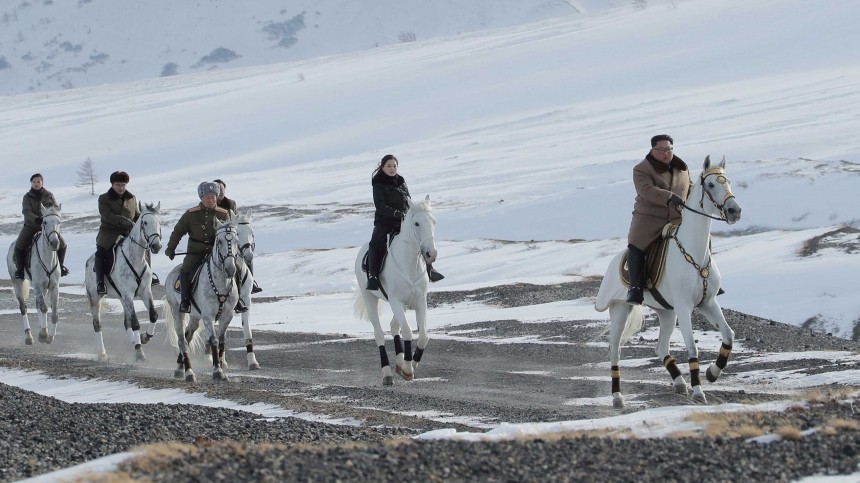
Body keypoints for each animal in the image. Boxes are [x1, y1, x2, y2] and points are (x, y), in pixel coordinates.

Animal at [5, 203, 62, 344]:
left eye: (59, 222)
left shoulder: (54, 286)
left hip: (44, 288)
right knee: (23, 307)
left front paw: (49, 336)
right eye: (45, 222)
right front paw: (44, 334)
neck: (48, 258)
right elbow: (44, 308)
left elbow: (54, 313)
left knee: (37, 304)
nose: (54, 242)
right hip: (17, 283)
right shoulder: (37, 285)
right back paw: (29, 337)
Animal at [85, 201, 164, 364]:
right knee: (97, 324)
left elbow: (153, 315)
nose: (156, 246)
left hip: (121, 298)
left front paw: (144, 338)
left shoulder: (145, 292)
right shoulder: (128, 295)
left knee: (126, 322)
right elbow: (135, 323)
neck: (135, 259)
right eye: (145, 222)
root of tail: (88, 262)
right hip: (95, 297)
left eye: (159, 222)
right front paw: (139, 353)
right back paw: (102, 354)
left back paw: (134, 341)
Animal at [164, 218, 239, 382]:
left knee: (188, 336)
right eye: (219, 241)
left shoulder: (227, 316)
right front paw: (217, 371)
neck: (221, 284)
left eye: (236, 240)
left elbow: (222, 341)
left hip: (194, 317)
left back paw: (180, 367)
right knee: (182, 340)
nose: (230, 269)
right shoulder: (208, 317)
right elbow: (214, 340)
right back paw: (188, 373)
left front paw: (222, 367)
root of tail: (171, 274)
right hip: (178, 313)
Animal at [354, 195, 436, 388]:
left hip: (405, 304)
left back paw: (398, 362)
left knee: (393, 326)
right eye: (416, 223)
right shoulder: (395, 301)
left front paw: (412, 363)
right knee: (379, 334)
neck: (410, 263)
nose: (431, 254)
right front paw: (407, 369)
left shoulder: (420, 301)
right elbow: (407, 331)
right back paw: (387, 373)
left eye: (433, 221)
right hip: (370, 298)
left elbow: (423, 335)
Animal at [596, 158, 744, 408]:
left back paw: (679, 382)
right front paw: (699, 391)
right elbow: (692, 346)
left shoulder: (708, 303)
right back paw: (618, 397)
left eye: (728, 181)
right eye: (711, 184)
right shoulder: (685, 307)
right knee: (615, 351)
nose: (734, 211)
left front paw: (713, 373)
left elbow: (728, 335)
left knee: (661, 347)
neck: (694, 252)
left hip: (667, 313)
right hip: (620, 311)